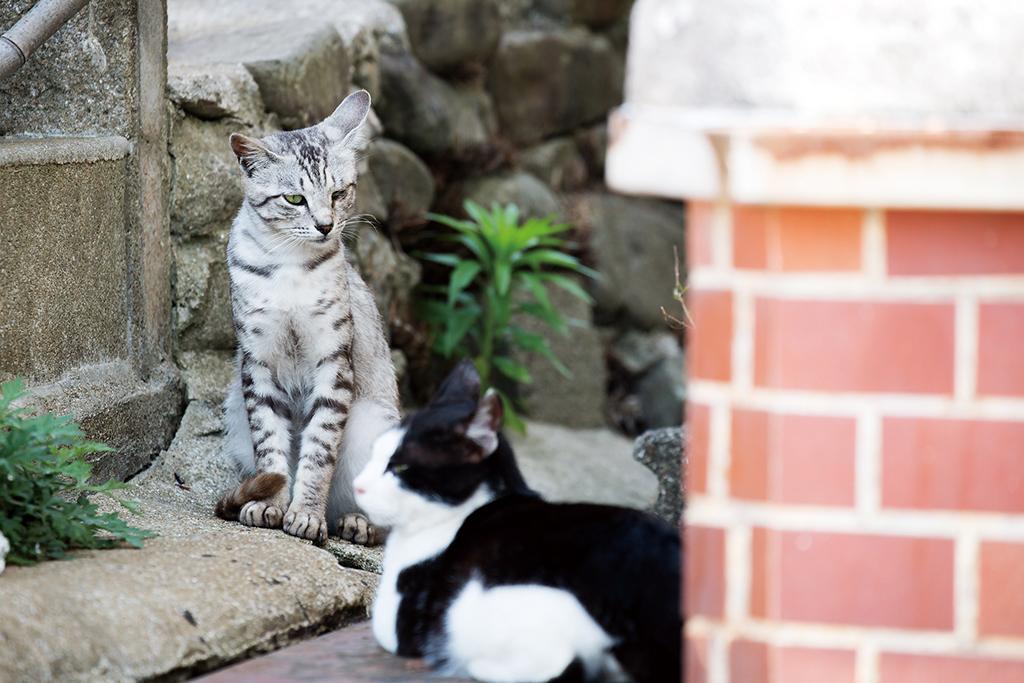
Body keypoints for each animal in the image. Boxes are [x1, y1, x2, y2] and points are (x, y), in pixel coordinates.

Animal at [218, 90, 397, 548]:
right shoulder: (258, 362)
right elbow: (271, 448)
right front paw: (269, 505)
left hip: (375, 423)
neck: (289, 267)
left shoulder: (333, 363)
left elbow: (318, 452)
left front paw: (305, 515)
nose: (325, 225)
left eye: (338, 193)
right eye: (294, 199)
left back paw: (354, 523)